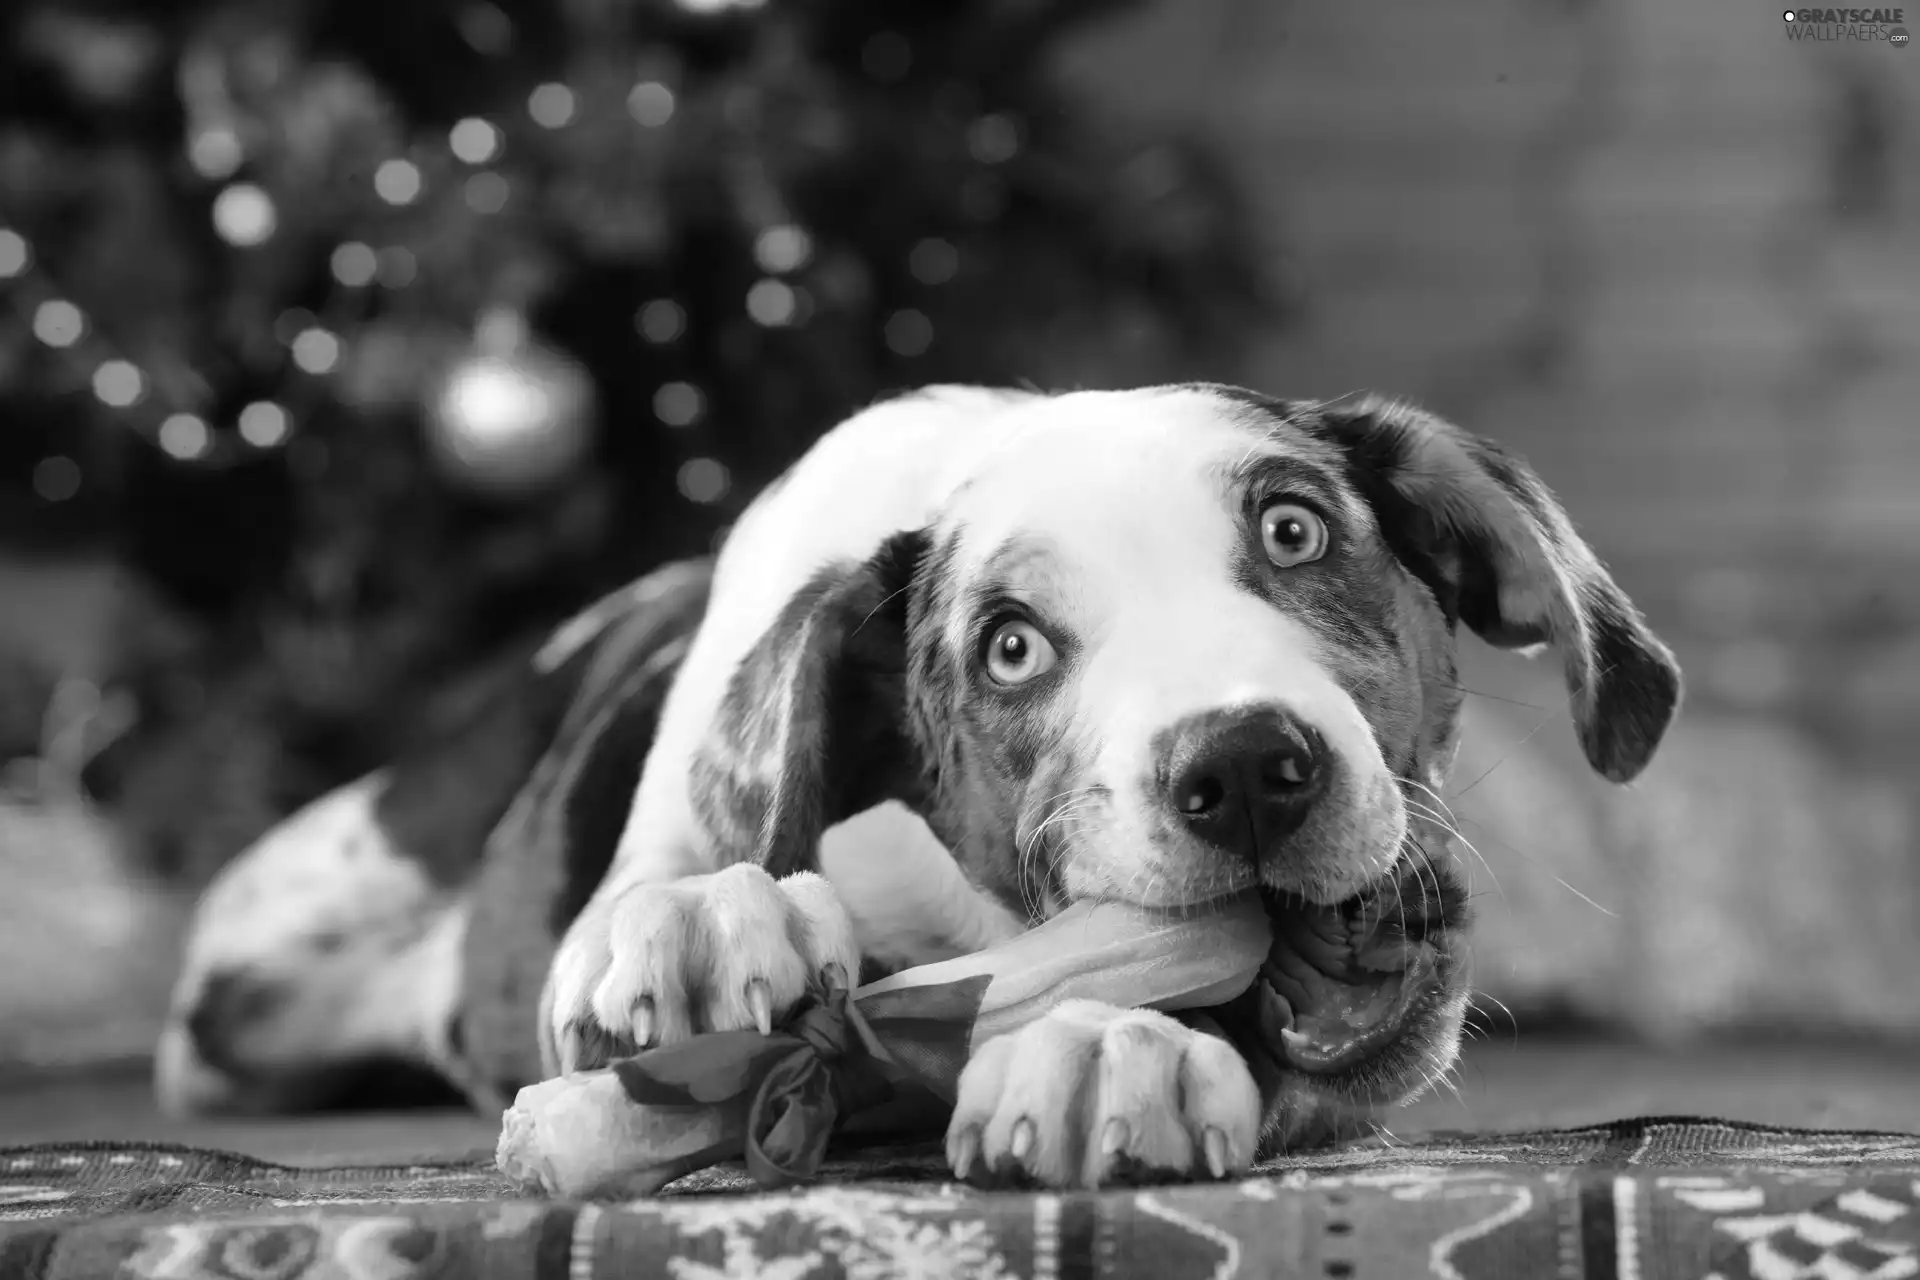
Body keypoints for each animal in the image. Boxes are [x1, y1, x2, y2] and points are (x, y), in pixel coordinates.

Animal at [153, 383, 1681, 1189]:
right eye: (1010, 646)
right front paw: (707, 918)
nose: (1245, 767)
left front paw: (1104, 1045)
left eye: (1296, 529)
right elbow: (655, 923)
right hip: (257, 973)